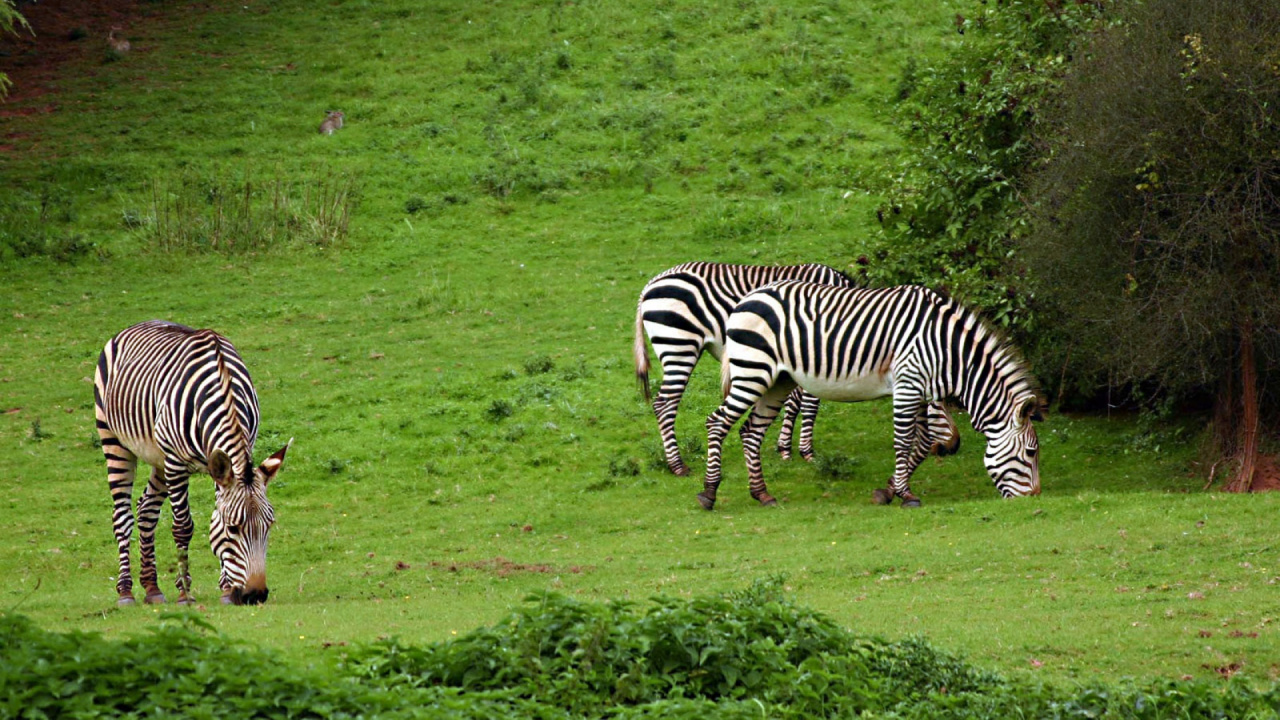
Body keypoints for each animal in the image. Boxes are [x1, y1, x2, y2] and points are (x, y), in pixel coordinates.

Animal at [94, 320, 290, 606]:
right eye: (233, 528)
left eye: (269, 525)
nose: (255, 596)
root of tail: (138, 325)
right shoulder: (176, 463)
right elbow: (183, 527)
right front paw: (184, 593)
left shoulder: (223, 462)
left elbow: (214, 517)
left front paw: (225, 589)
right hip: (114, 439)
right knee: (122, 516)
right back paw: (125, 591)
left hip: (159, 457)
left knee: (146, 509)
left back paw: (152, 588)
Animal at [634, 262, 959, 476]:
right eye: (940, 403)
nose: (953, 447)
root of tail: (650, 283)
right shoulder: (816, 351)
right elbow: (809, 404)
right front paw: (805, 451)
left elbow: (794, 401)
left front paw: (784, 446)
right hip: (680, 344)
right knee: (665, 404)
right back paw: (678, 465)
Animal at [700, 281, 1042, 511]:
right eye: (1030, 453)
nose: (1033, 499)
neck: (948, 350)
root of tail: (749, 297)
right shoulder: (907, 384)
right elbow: (904, 441)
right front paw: (906, 495)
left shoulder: (919, 390)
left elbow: (921, 444)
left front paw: (889, 491)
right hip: (753, 371)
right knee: (717, 423)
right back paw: (709, 493)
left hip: (777, 380)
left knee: (750, 432)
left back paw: (762, 494)